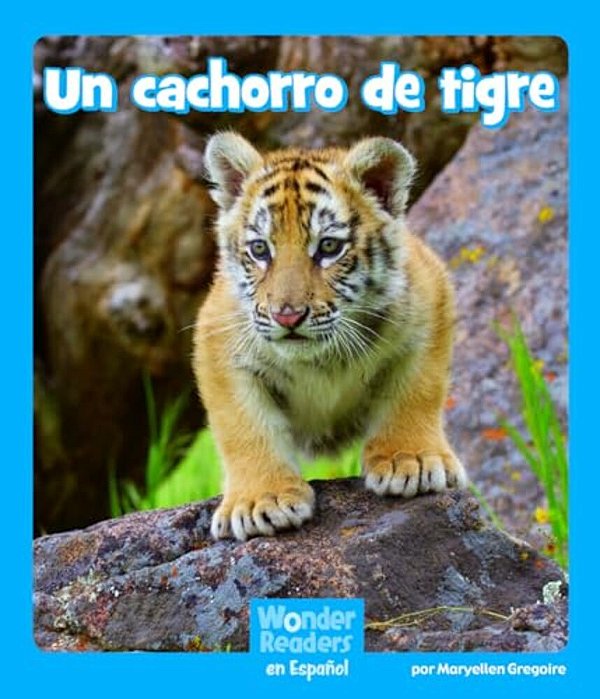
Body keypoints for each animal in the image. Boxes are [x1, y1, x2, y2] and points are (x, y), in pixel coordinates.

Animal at [193, 131, 467, 541]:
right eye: (260, 249)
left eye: (328, 247)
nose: (287, 315)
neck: (321, 359)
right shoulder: (219, 343)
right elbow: (244, 427)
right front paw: (262, 501)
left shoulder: (431, 303)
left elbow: (417, 392)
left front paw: (411, 461)